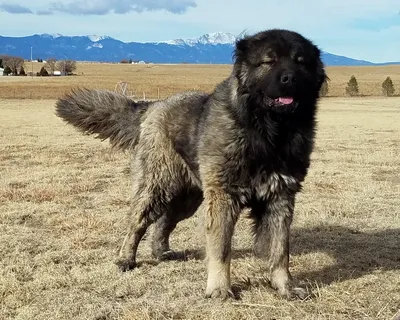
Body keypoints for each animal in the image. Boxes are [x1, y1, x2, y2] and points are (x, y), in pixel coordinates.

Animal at [54, 28, 326, 302]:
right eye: (269, 61)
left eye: (300, 62)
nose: (289, 78)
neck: (267, 131)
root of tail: (154, 105)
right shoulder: (223, 199)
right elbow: (221, 249)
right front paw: (219, 289)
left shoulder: (280, 197)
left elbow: (280, 251)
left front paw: (285, 287)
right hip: (157, 186)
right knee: (137, 223)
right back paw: (125, 259)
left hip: (187, 198)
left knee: (163, 222)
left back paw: (160, 252)